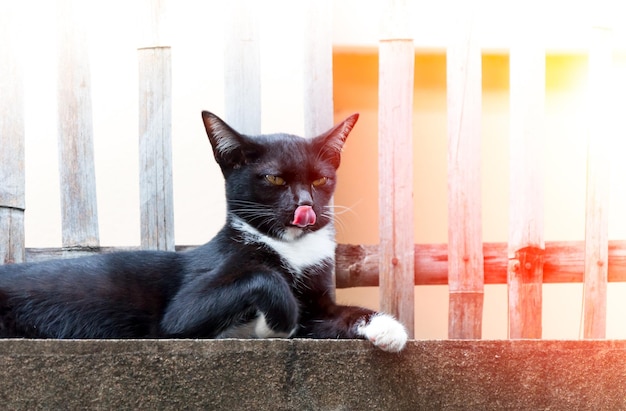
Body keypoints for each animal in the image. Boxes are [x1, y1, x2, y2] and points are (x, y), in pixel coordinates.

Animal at [0, 111, 408, 352]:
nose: (305, 205)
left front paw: (388, 328)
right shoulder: (184, 311)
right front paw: (275, 322)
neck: (289, 248)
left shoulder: (318, 302)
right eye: (274, 179)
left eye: (321, 180)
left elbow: (335, 314)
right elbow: (261, 282)